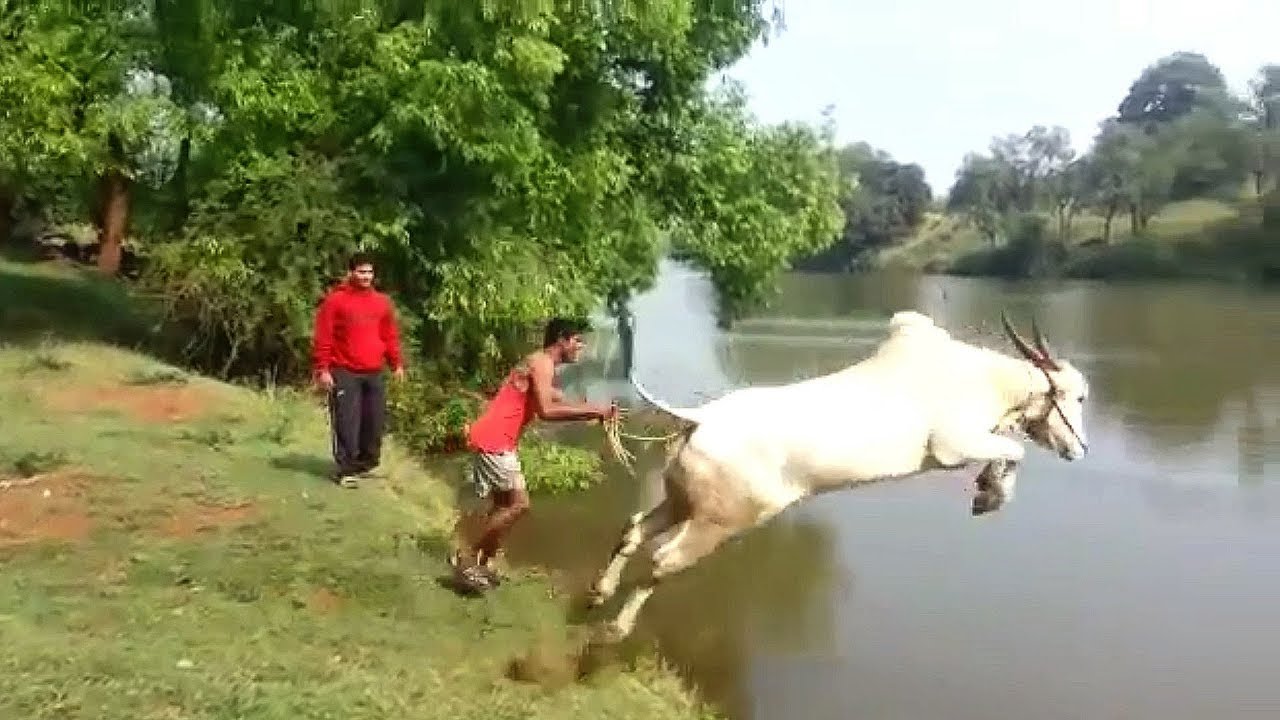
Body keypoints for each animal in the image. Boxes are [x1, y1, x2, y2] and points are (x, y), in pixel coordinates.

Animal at [586, 310, 1089, 642]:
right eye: (1079, 397)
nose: (1080, 449)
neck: (988, 378)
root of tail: (700, 418)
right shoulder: (952, 445)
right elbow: (1013, 450)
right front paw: (989, 495)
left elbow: (1009, 450)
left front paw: (987, 488)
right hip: (724, 519)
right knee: (662, 559)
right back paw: (614, 628)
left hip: (681, 500)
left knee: (634, 530)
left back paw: (598, 593)